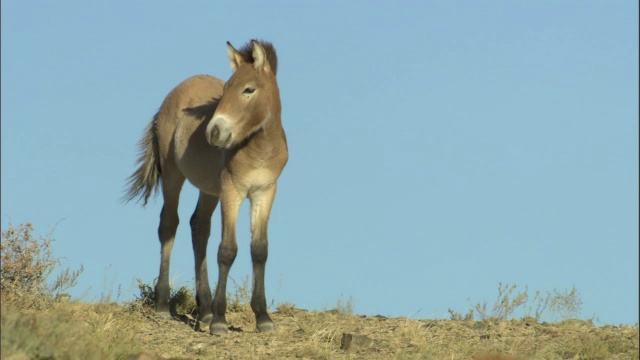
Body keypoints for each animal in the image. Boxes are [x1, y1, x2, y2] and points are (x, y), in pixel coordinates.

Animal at [124, 39, 288, 334]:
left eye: (248, 89)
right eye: (225, 89)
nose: (214, 132)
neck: (259, 149)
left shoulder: (265, 191)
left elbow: (259, 249)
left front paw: (263, 317)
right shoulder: (232, 191)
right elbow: (227, 250)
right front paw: (221, 320)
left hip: (209, 190)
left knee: (199, 226)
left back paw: (205, 310)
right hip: (174, 175)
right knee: (169, 225)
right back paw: (164, 305)